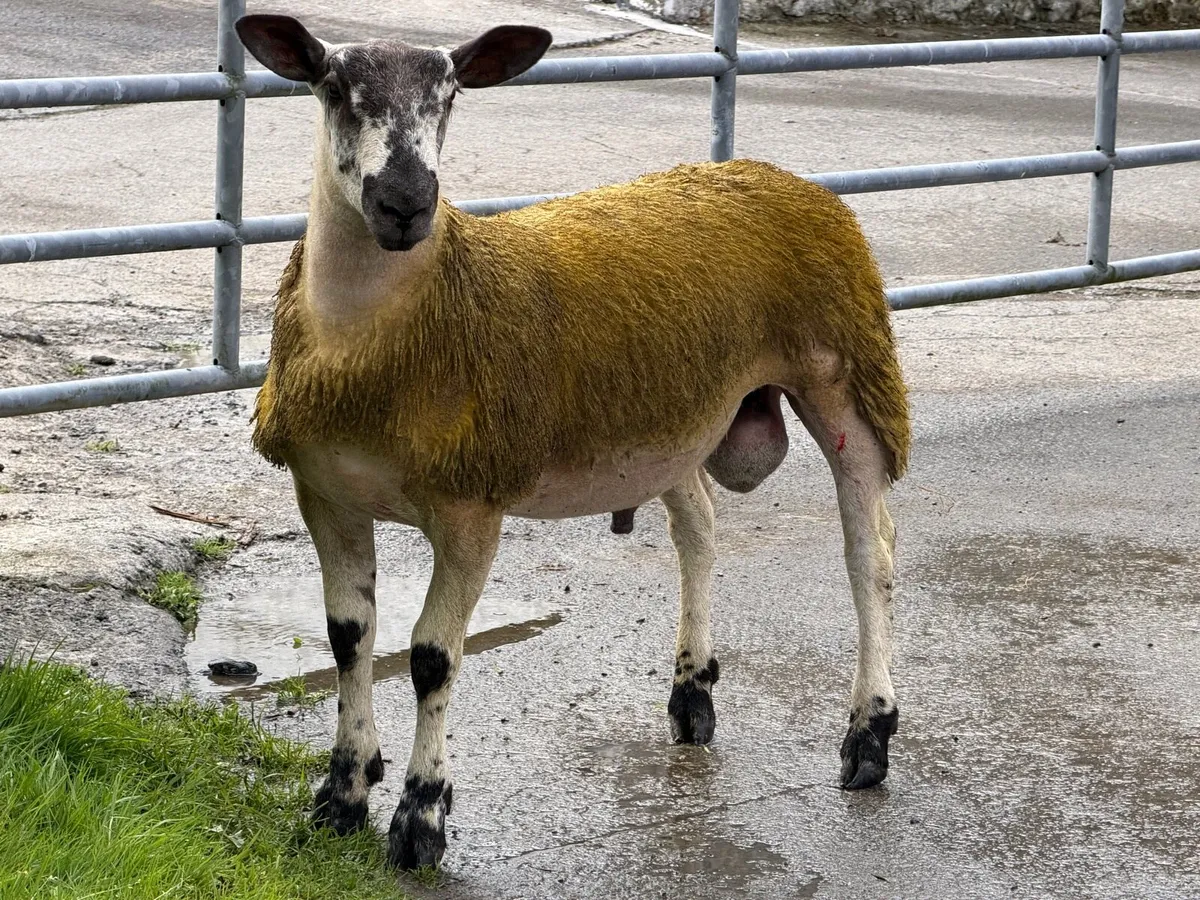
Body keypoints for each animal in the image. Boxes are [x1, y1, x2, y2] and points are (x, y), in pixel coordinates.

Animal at [235, 14, 911, 872]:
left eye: (450, 95)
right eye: (333, 87)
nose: (406, 204)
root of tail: (776, 175)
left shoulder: (471, 504)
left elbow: (431, 657)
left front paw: (421, 819)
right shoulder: (325, 492)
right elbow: (349, 641)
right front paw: (342, 797)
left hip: (844, 372)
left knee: (868, 555)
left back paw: (869, 736)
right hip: (675, 416)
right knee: (700, 528)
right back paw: (692, 695)